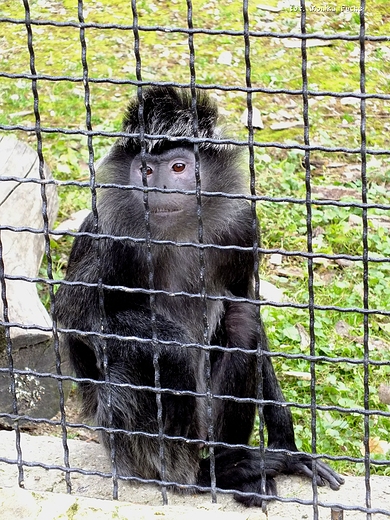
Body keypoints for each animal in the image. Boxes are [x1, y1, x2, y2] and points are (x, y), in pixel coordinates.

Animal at [55, 86, 344, 508]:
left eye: (178, 168)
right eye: (146, 170)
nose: (156, 188)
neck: (179, 230)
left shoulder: (242, 227)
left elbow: (245, 300)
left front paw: (286, 442)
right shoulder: (109, 234)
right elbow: (74, 313)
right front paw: (172, 344)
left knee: (241, 320)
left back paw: (237, 468)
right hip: (123, 439)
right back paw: (201, 474)